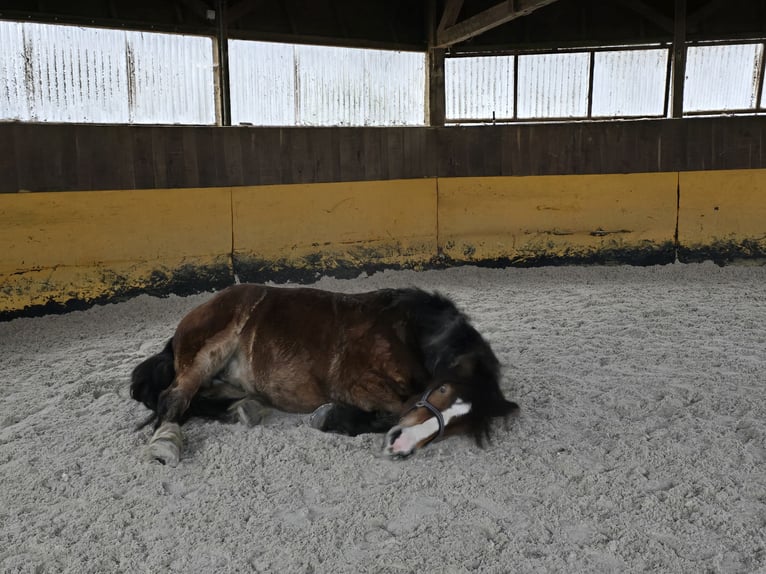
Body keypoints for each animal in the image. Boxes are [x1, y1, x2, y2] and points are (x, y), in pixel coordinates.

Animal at [130, 284, 520, 468]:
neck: (406, 332)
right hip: (206, 352)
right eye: (440, 389)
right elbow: (396, 409)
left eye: (458, 426)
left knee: (199, 399)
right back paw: (165, 443)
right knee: (174, 399)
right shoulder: (358, 384)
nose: (402, 444)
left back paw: (242, 409)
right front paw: (332, 416)